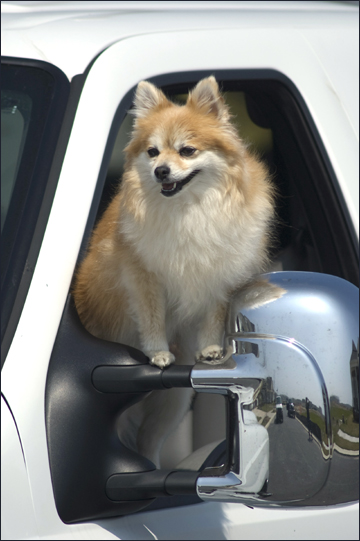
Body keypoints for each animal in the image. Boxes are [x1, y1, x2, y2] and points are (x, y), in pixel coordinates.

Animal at [74, 77, 276, 468]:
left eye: (187, 151)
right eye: (152, 153)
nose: (161, 171)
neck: (187, 209)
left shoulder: (219, 272)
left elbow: (214, 313)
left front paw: (211, 348)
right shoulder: (143, 276)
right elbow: (152, 314)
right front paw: (157, 352)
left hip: (173, 401)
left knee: (147, 442)